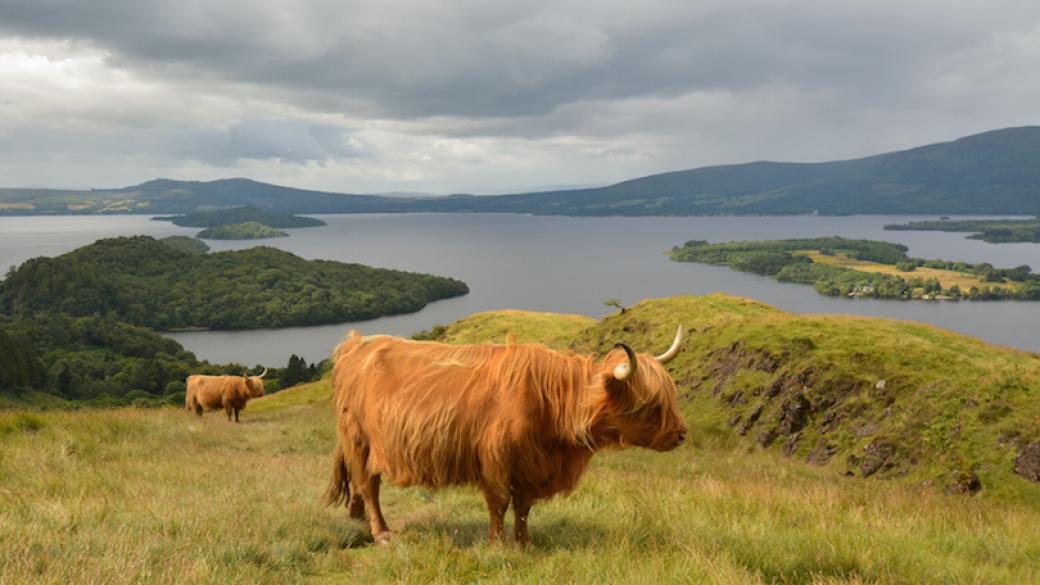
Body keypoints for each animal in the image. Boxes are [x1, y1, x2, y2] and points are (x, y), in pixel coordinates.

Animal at [322, 322, 682, 541]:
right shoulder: (494, 458)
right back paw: (380, 532)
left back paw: (356, 519)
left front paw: (524, 543)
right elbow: (499, 503)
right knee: (369, 485)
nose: (681, 434)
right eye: (651, 404)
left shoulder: (530, 465)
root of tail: (356, 343)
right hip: (359, 439)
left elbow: (523, 507)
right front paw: (496, 542)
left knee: (360, 483)